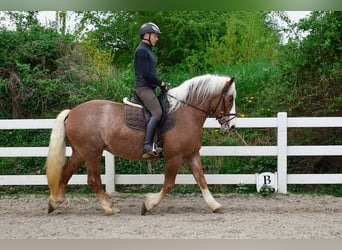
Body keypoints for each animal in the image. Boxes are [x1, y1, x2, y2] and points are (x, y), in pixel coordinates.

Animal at [46, 73, 235, 215]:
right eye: (230, 99)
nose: (232, 126)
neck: (185, 112)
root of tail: (72, 112)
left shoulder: (192, 154)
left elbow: (201, 180)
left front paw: (214, 205)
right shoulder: (174, 157)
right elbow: (169, 184)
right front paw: (148, 205)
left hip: (81, 152)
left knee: (66, 172)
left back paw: (55, 202)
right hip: (92, 152)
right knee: (93, 180)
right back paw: (109, 207)